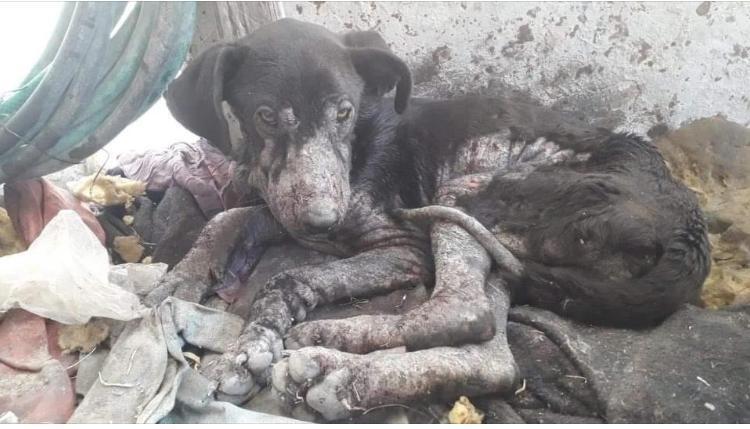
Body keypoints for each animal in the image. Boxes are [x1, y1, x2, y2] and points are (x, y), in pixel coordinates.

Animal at [156, 19, 712, 418]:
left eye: (344, 112)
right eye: (266, 116)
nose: (323, 220)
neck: (359, 147)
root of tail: (690, 235)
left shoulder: (402, 245)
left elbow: (288, 275)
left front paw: (249, 341)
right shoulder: (289, 210)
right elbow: (226, 217)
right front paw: (181, 280)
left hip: (471, 195)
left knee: (462, 310)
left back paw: (340, 355)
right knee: (494, 356)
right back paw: (355, 377)